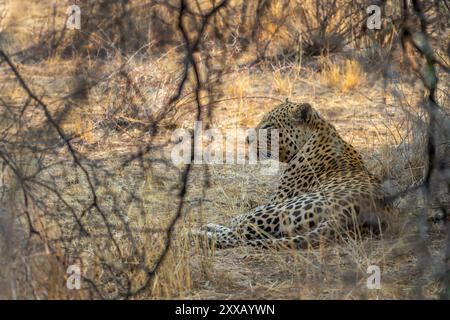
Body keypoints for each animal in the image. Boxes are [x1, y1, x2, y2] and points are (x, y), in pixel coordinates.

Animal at [197, 101, 390, 249]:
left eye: (268, 127)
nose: (247, 139)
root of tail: (345, 214)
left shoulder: (277, 199)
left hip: (281, 209)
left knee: (238, 232)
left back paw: (200, 233)